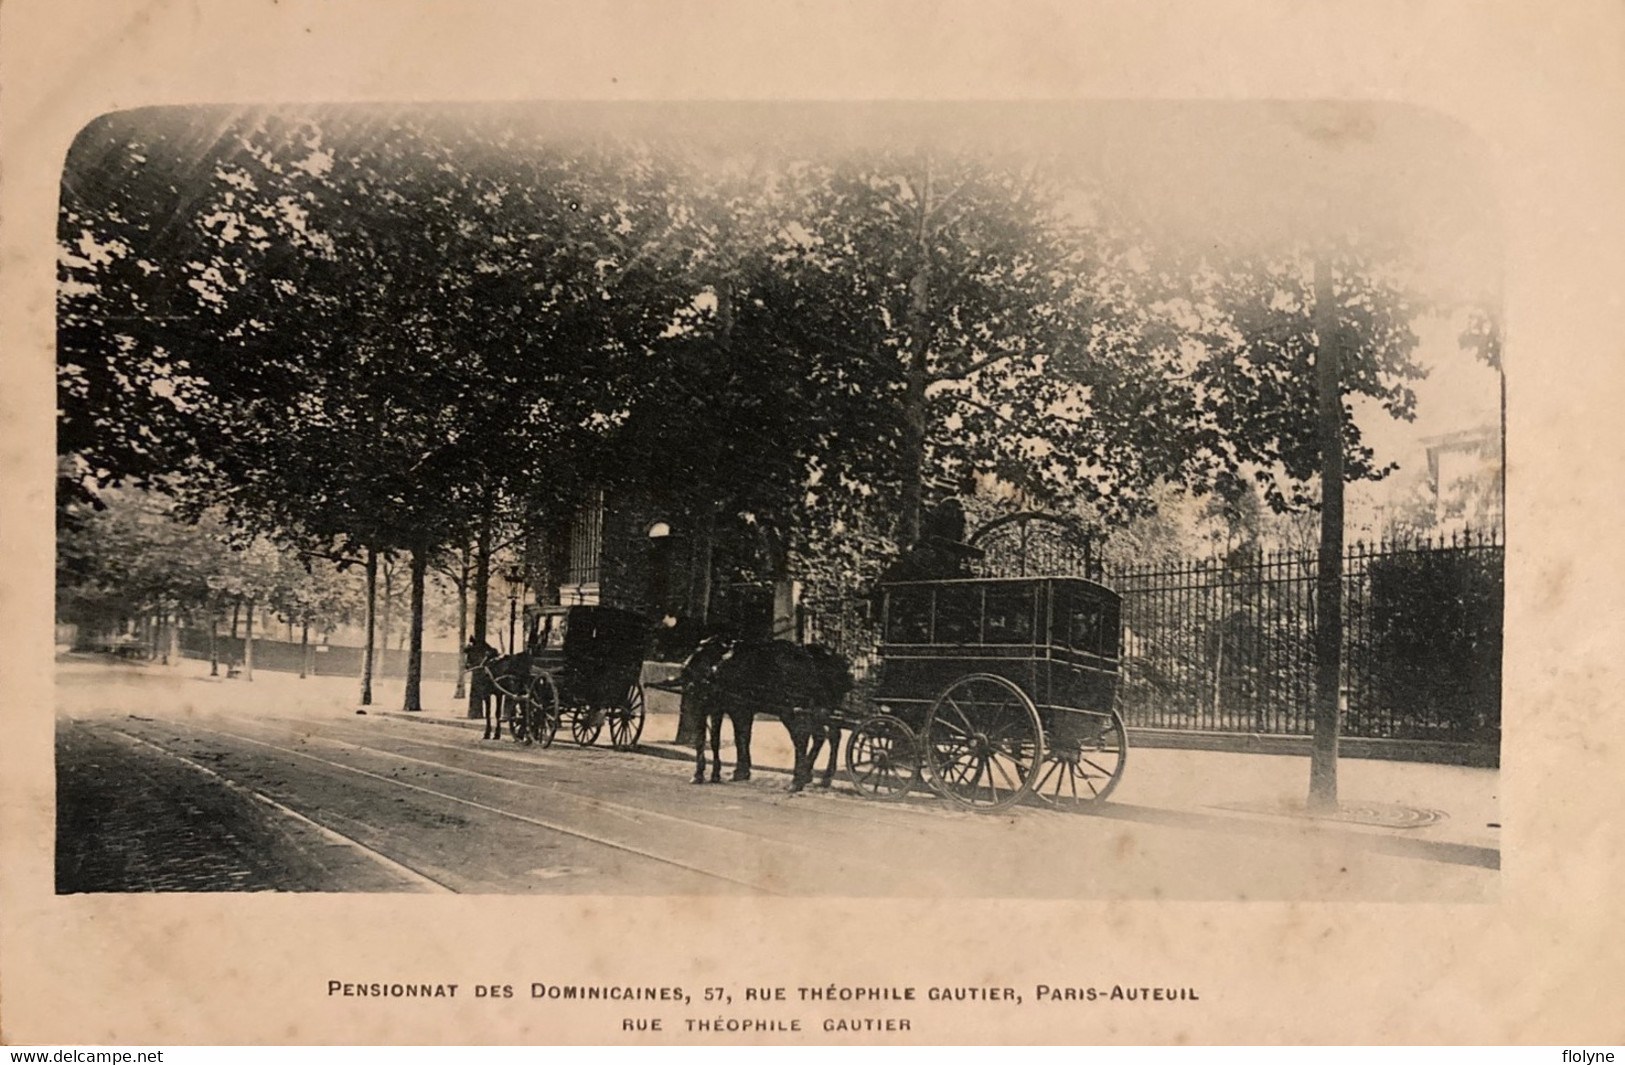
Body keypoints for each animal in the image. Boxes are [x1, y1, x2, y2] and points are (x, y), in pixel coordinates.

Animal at [682, 634, 858, 790]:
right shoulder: (736, 708)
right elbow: (739, 737)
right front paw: (738, 772)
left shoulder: (705, 704)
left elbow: (705, 739)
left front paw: (700, 774)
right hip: (822, 709)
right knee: (830, 735)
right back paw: (820, 777)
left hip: (792, 712)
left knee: (804, 738)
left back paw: (798, 780)